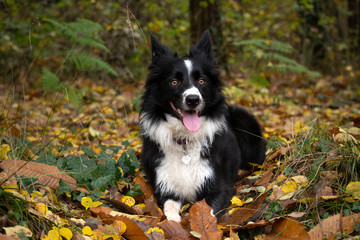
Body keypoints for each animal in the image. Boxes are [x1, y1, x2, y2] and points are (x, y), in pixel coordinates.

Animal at [139, 31, 266, 222]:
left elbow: (209, 212)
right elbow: (169, 211)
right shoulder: (166, 188)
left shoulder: (219, 187)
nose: (193, 99)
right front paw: (175, 223)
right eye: (174, 82)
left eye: (201, 81)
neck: (185, 139)